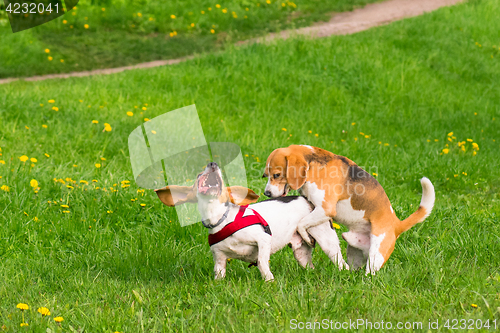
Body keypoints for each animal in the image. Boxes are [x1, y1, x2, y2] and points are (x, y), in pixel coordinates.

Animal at [155, 161, 344, 280]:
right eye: (198, 175)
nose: (213, 164)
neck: (222, 220)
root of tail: (308, 200)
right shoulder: (219, 258)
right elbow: (219, 274)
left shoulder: (263, 239)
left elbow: (261, 261)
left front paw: (269, 280)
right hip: (301, 253)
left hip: (327, 241)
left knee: (341, 262)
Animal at [262, 144, 434, 274]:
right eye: (266, 175)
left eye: (276, 175)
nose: (266, 193)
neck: (313, 166)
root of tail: (396, 223)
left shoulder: (326, 209)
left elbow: (301, 223)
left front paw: (307, 238)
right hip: (354, 251)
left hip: (376, 253)